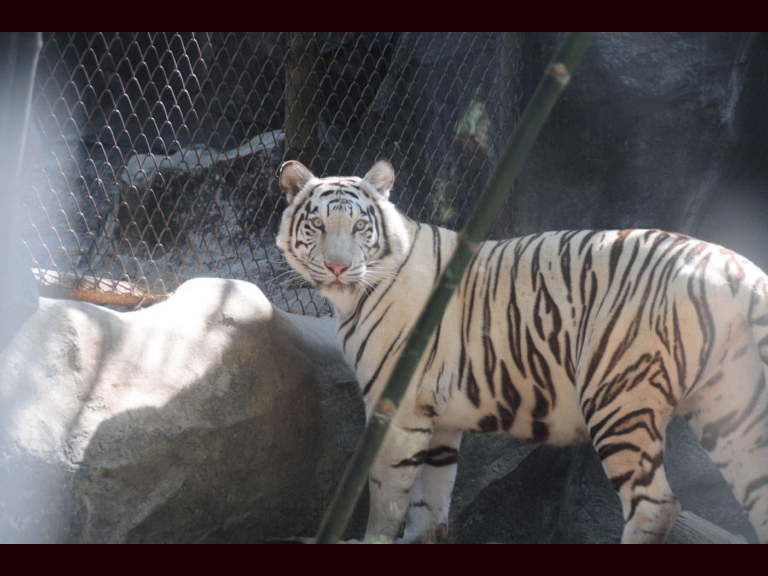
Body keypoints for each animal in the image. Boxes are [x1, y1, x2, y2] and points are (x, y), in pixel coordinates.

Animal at [276, 159, 768, 544]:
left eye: (360, 227)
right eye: (318, 225)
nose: (338, 267)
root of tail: (736, 264)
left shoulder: (396, 409)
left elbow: (386, 497)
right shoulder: (439, 420)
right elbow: (429, 504)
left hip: (619, 396)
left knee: (656, 505)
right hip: (733, 412)